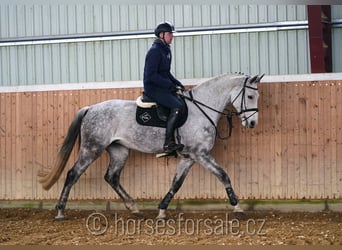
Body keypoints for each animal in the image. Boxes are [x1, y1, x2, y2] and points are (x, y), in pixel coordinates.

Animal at [38, 72, 262, 219]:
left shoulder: (190, 157)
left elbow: (176, 183)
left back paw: (134, 208)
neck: (201, 109)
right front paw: (238, 208)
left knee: (112, 177)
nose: (252, 123)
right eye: (250, 96)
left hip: (119, 150)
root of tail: (91, 108)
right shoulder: (200, 154)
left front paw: (162, 210)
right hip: (92, 148)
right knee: (73, 174)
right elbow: (223, 175)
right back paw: (60, 211)